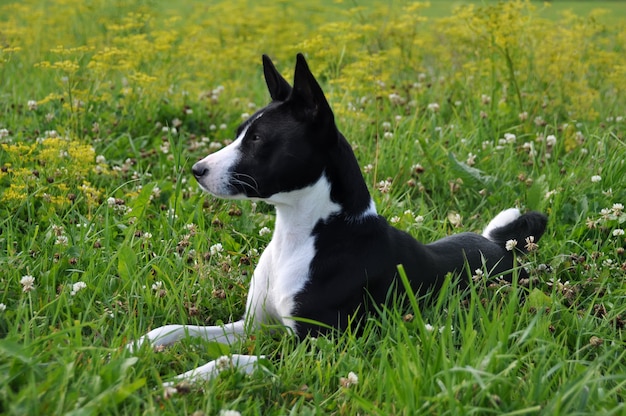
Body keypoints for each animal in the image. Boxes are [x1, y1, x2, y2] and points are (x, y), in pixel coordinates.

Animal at [129, 53, 544, 386]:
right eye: (238, 134)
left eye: (258, 139)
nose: (197, 169)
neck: (301, 239)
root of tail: (502, 244)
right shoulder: (252, 325)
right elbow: (177, 328)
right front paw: (137, 348)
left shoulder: (318, 345)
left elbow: (234, 359)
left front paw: (181, 380)